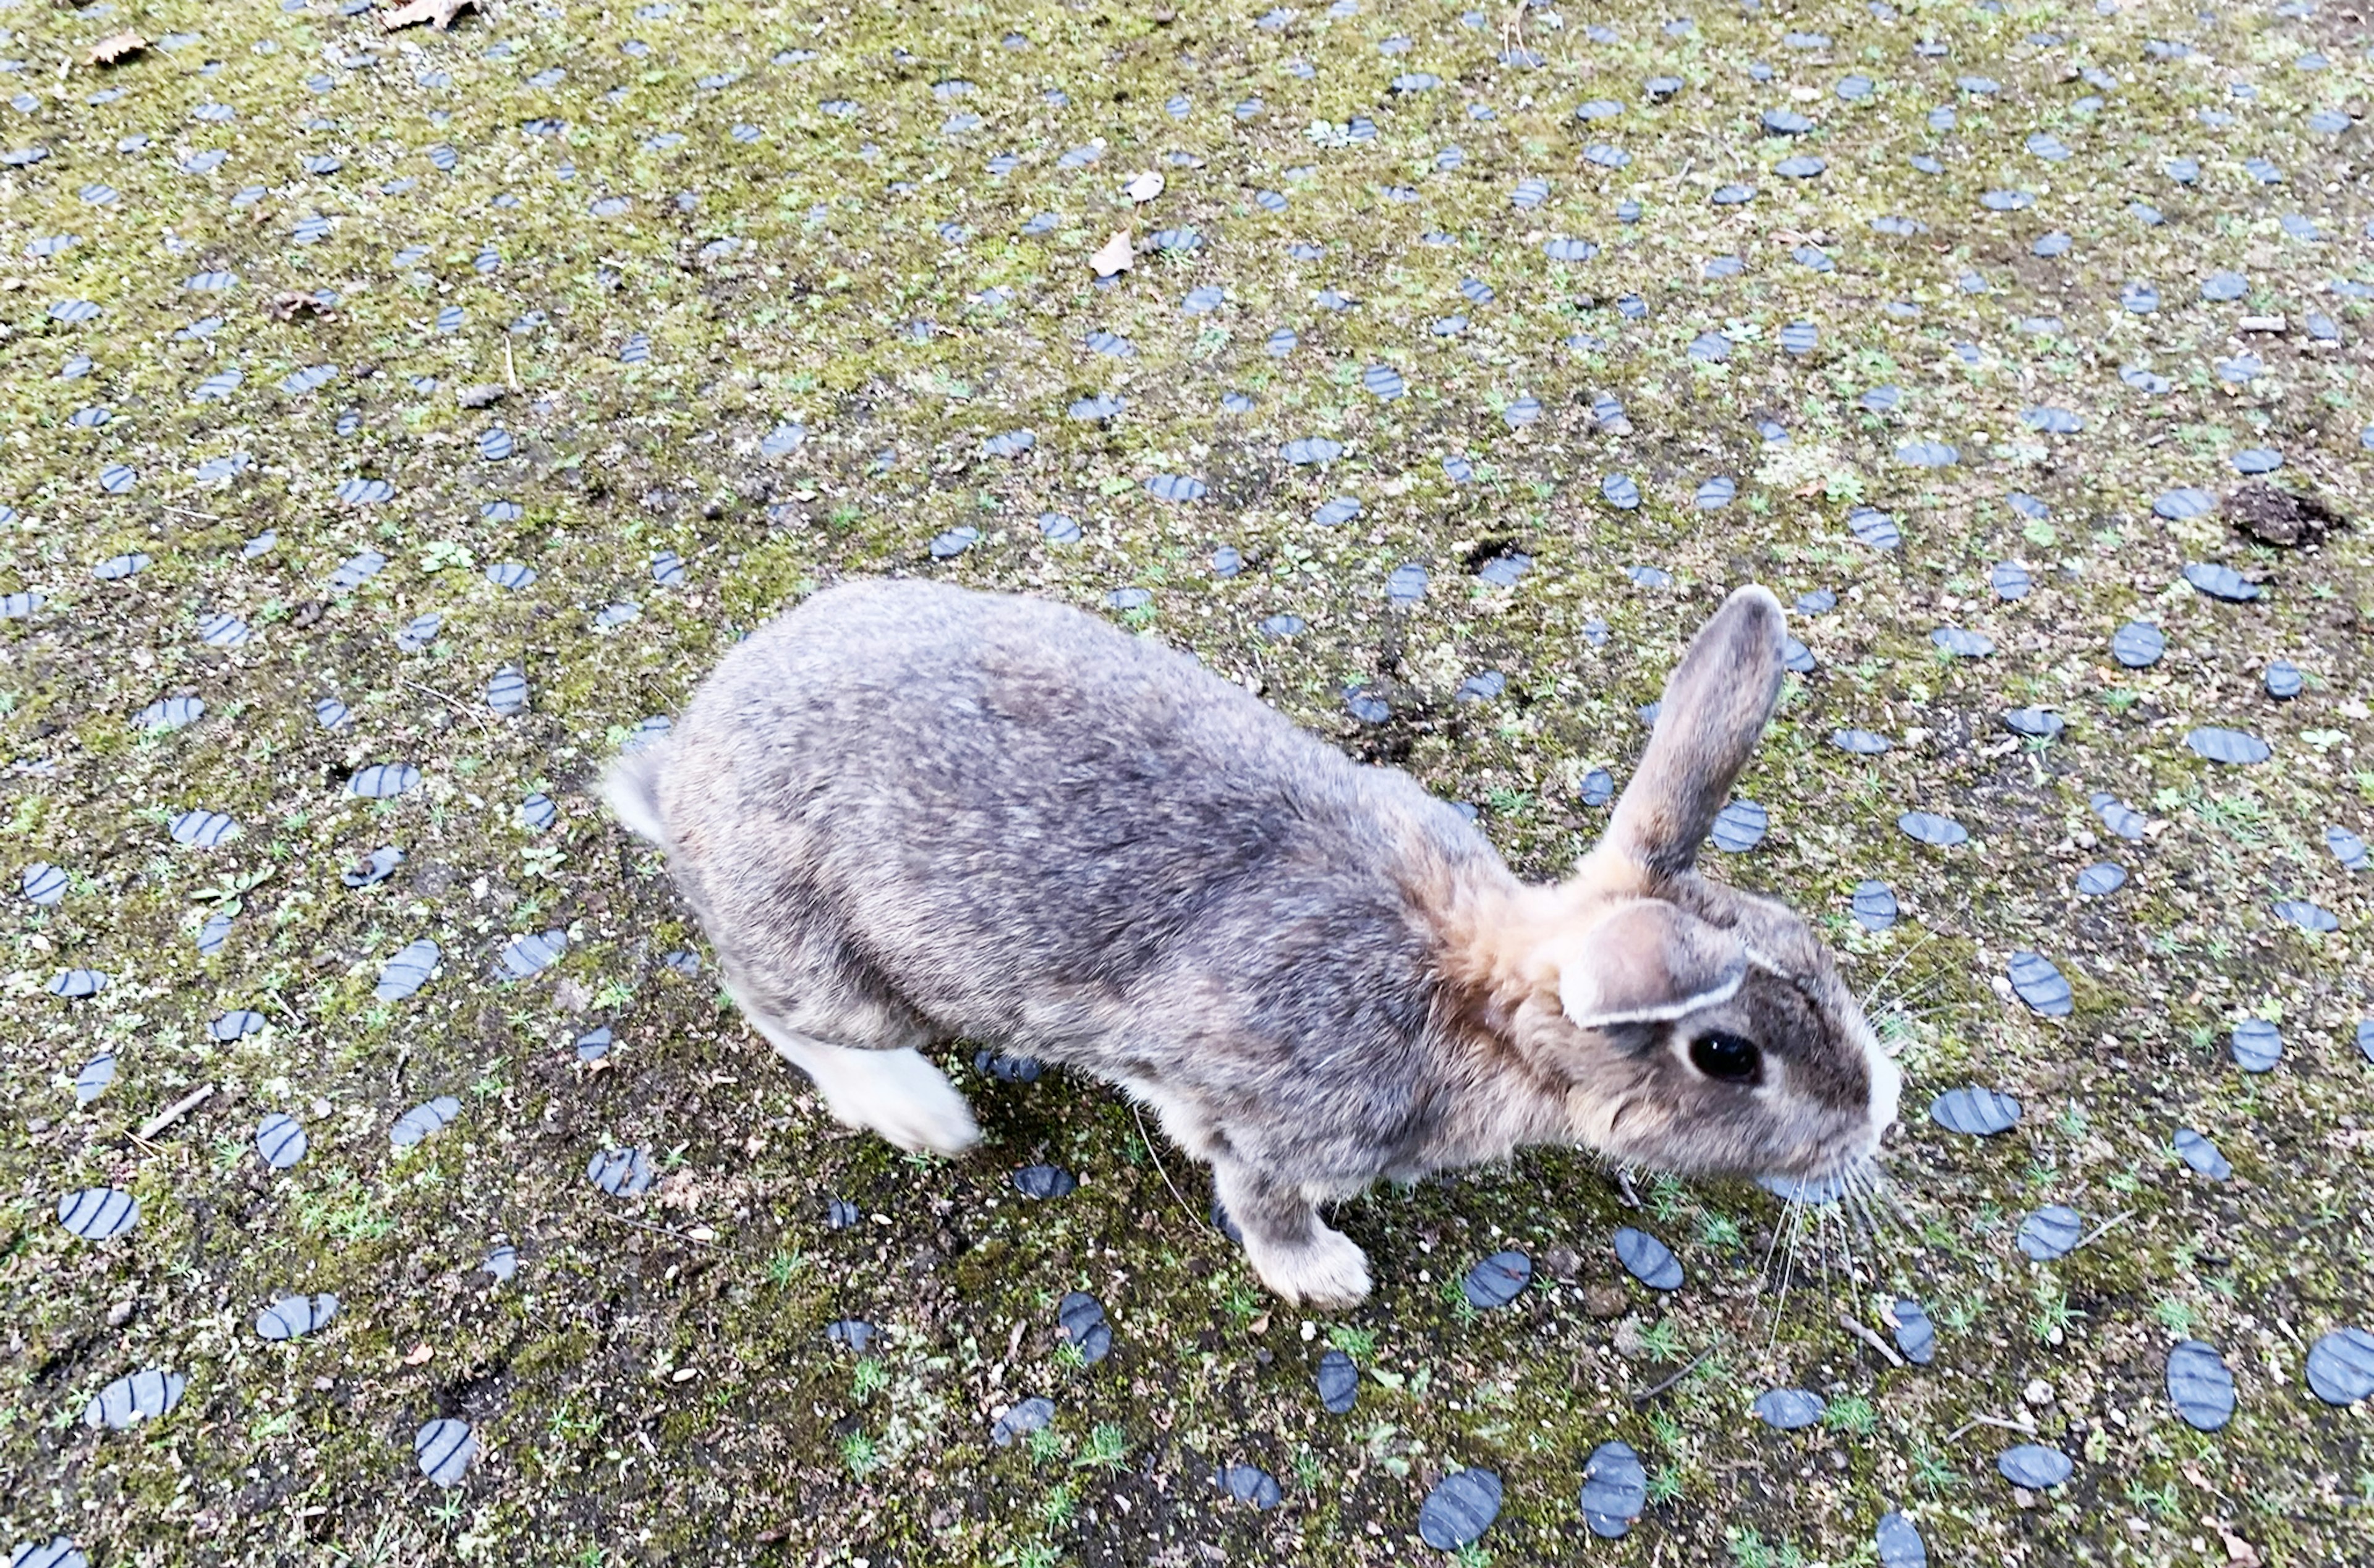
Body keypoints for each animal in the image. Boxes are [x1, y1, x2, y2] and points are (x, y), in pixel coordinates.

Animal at [603, 581, 1899, 1300]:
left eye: (1803, 942)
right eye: (1727, 1055)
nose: (1875, 1118)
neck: (1467, 995)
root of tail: (680, 780)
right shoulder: (1270, 1123)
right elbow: (1260, 1202)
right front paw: (1326, 1277)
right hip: (837, 966)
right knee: (778, 1007)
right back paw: (922, 1112)